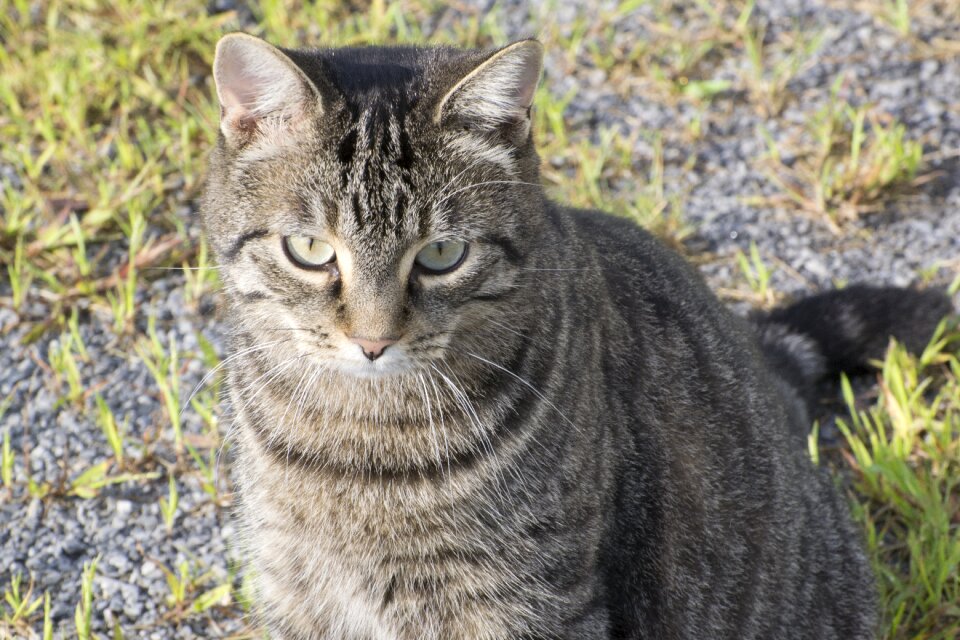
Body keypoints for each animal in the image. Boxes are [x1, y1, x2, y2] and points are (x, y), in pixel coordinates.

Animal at [201, 31, 952, 640]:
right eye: (309, 250)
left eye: (442, 254)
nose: (373, 341)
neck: (355, 444)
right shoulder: (294, 585)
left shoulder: (530, 600)